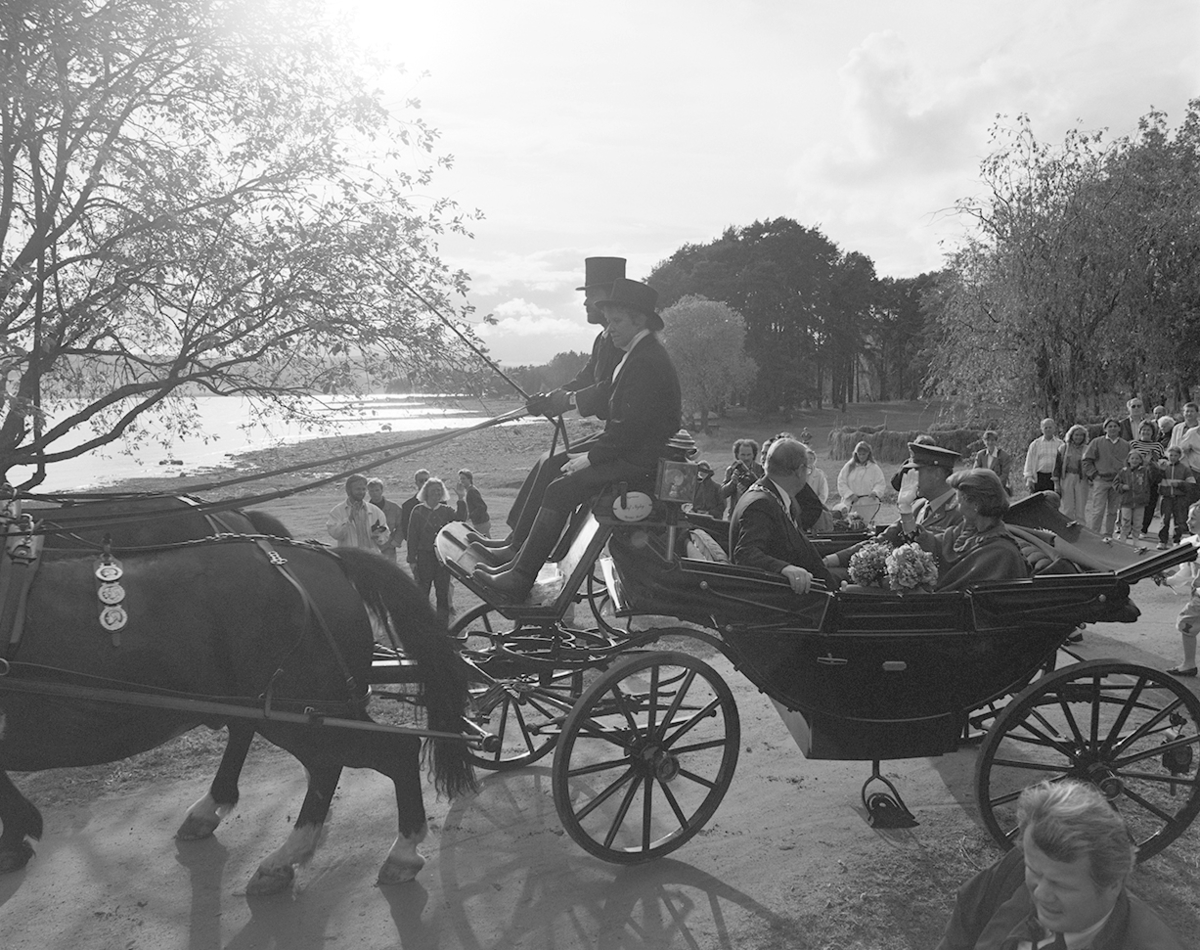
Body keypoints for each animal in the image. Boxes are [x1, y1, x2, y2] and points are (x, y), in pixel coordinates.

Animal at [0, 537, 472, 892]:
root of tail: (326, 557)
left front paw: (16, 837)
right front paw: (17, 836)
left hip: (297, 712)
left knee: (385, 753)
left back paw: (392, 853)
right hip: (306, 711)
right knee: (332, 764)